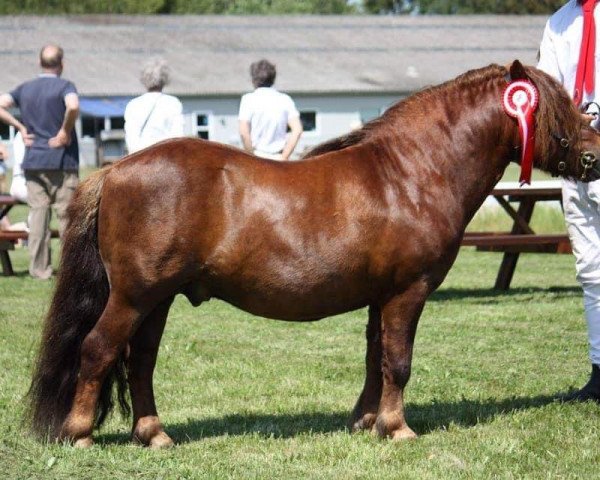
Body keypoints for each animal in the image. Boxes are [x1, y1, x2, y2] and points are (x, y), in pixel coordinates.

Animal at [27, 62, 600, 448]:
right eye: (557, 107)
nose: (594, 156)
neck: (413, 172)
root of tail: (115, 170)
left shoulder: (381, 297)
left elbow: (375, 357)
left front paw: (366, 421)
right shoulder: (408, 292)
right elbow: (399, 361)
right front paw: (398, 429)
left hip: (157, 299)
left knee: (140, 361)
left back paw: (154, 434)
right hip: (134, 295)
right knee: (99, 350)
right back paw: (80, 433)